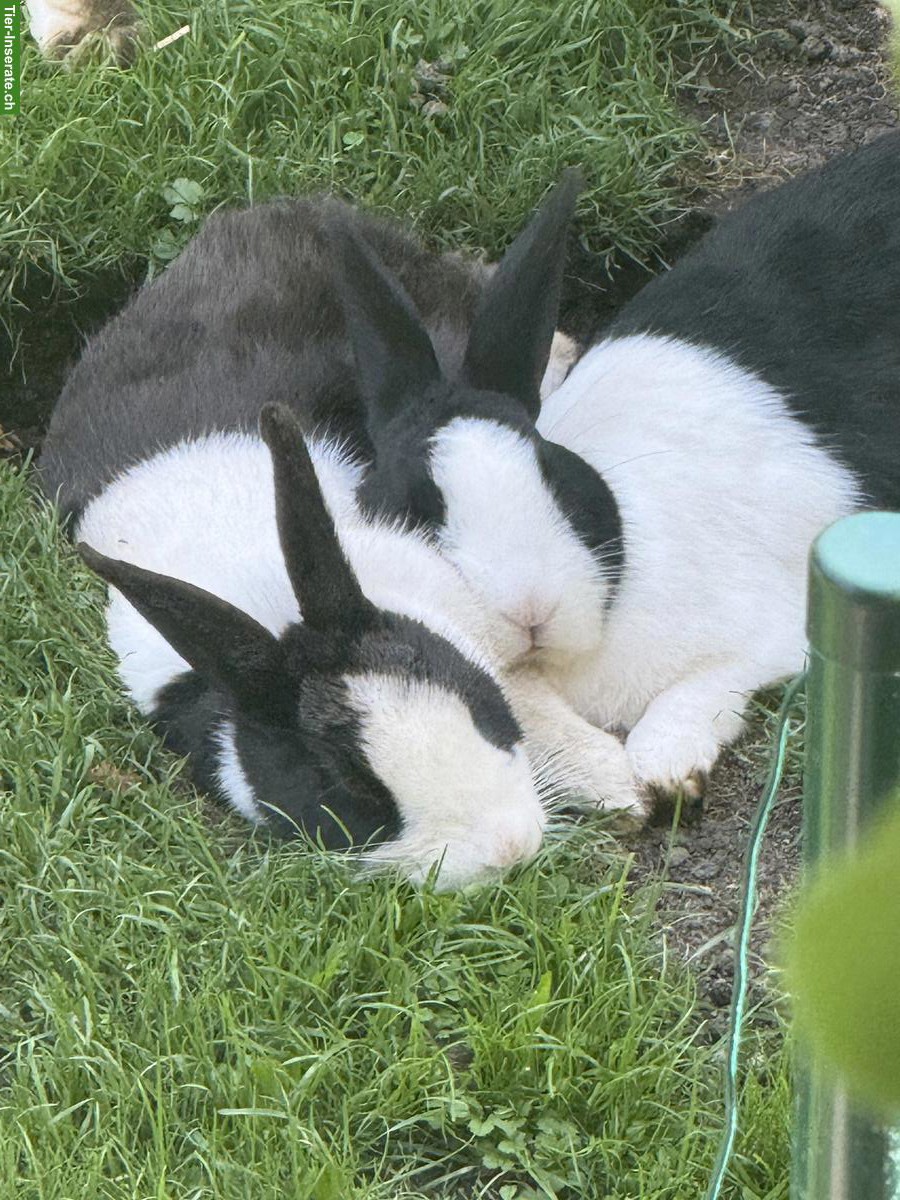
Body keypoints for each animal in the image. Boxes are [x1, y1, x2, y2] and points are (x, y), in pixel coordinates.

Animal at [340, 134, 900, 804]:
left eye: (551, 473)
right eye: (414, 512)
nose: (532, 611)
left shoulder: (773, 631)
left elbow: (702, 690)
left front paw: (665, 768)